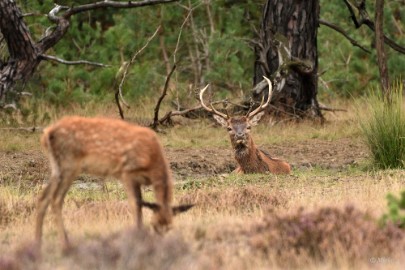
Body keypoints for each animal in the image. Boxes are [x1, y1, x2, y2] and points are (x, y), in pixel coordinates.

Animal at [36, 116, 193, 251]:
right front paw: (137, 238)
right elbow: (136, 206)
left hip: (58, 168)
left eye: (170, 227)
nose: (161, 245)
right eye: (153, 225)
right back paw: (66, 245)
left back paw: (38, 243)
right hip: (69, 164)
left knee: (44, 197)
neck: (152, 161)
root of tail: (46, 134)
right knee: (56, 199)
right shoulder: (127, 172)